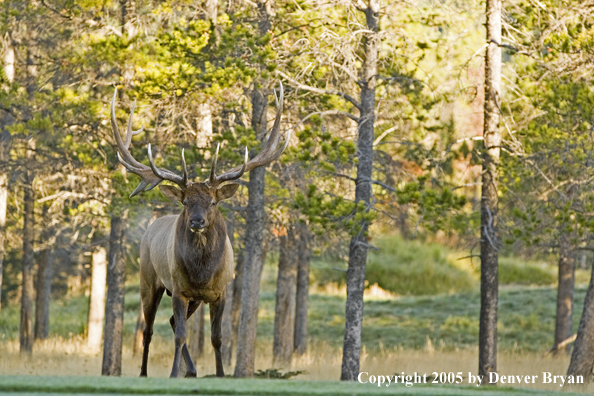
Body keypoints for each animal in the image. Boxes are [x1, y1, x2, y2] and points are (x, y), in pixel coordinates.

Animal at [111, 85, 290, 378]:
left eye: (213, 202)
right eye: (185, 202)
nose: (197, 221)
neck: (202, 273)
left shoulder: (220, 292)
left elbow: (217, 337)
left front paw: (220, 374)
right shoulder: (179, 289)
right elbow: (180, 335)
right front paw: (174, 373)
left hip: (190, 297)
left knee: (172, 321)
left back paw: (192, 370)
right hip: (149, 281)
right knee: (149, 329)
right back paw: (144, 373)